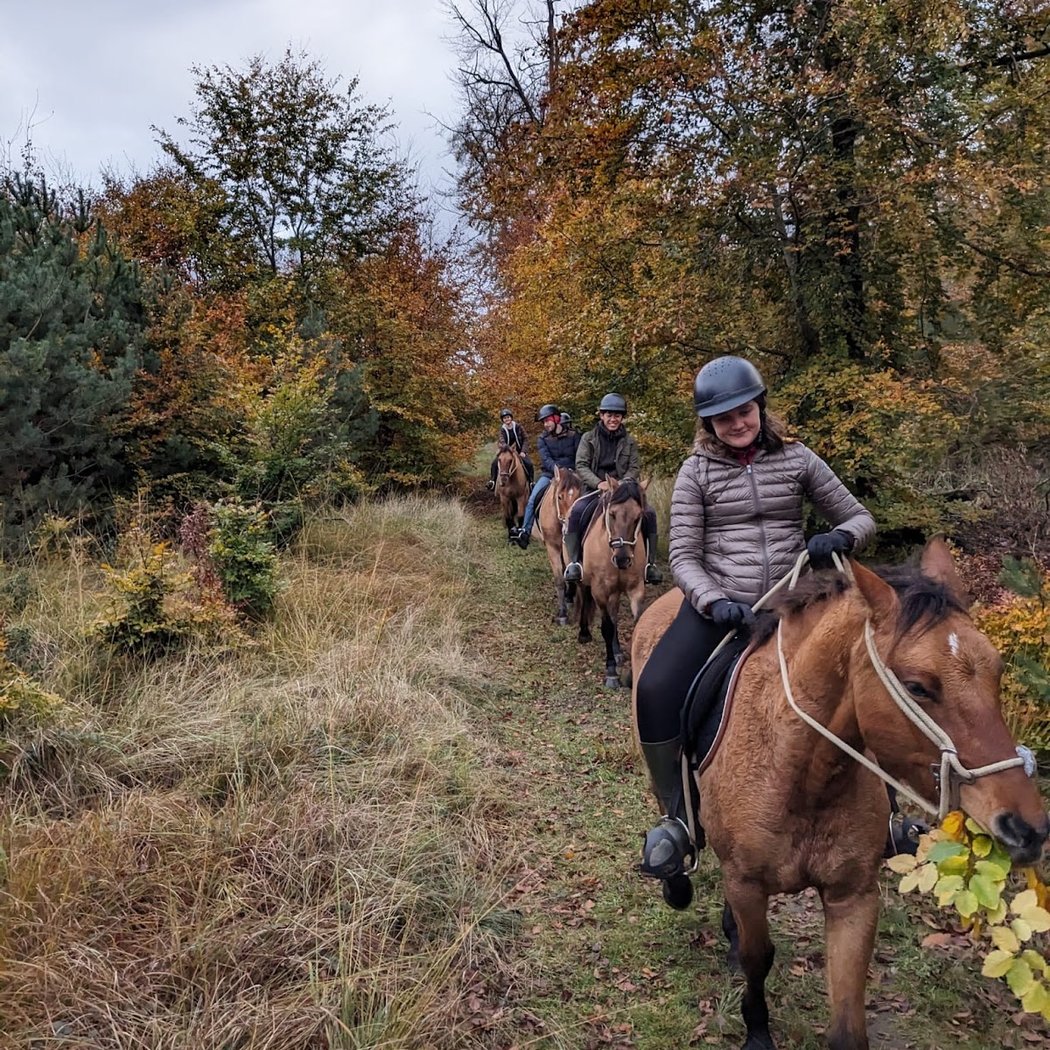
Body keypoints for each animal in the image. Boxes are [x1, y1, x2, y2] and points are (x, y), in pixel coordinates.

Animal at [533, 465, 584, 626]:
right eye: (560, 497)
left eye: (578, 496)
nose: (571, 523)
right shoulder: (552, 548)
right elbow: (560, 580)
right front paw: (562, 614)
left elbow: (570, 575)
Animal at [576, 478, 648, 687]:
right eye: (612, 514)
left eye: (638, 516)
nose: (623, 559)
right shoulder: (599, 591)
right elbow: (607, 627)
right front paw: (611, 673)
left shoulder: (636, 589)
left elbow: (635, 624)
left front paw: (631, 674)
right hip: (585, 580)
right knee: (584, 595)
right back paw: (584, 633)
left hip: (615, 591)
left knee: (614, 613)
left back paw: (616, 652)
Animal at [630, 538, 1048, 1050]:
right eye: (917, 686)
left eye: (997, 671)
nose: (1026, 827)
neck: (803, 778)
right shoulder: (747, 882)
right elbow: (757, 959)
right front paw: (757, 1031)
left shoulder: (853, 896)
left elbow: (847, 1024)